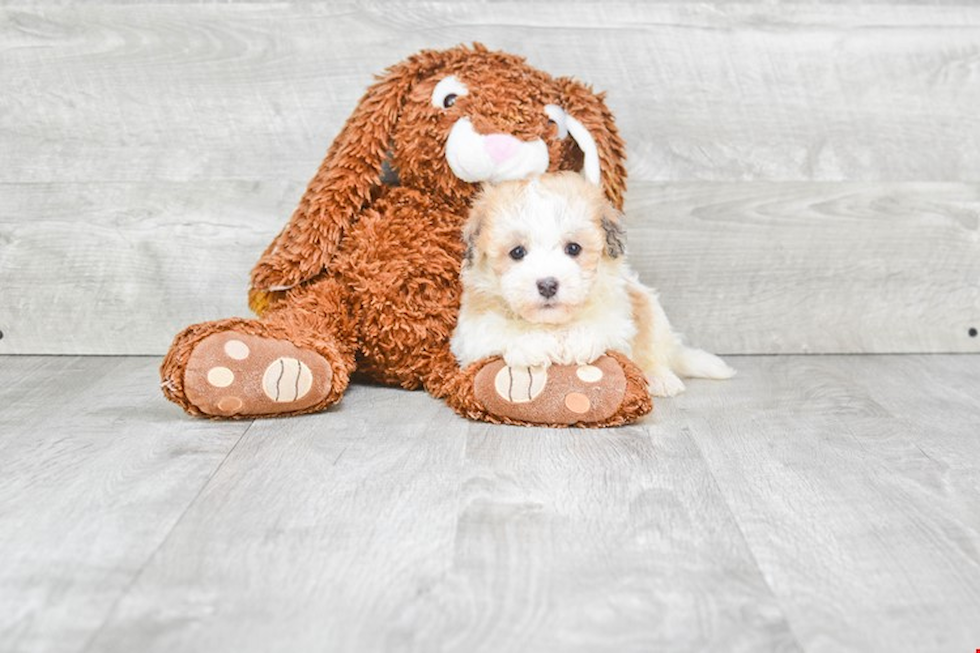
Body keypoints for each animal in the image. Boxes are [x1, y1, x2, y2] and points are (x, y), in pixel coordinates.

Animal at [452, 171, 736, 394]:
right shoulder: (473, 330)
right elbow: (501, 329)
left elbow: (600, 324)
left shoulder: (618, 312)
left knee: (653, 349)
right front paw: (536, 343)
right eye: (517, 252)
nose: (547, 285)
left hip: (650, 308)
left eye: (573, 248)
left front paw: (577, 341)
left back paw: (659, 377)